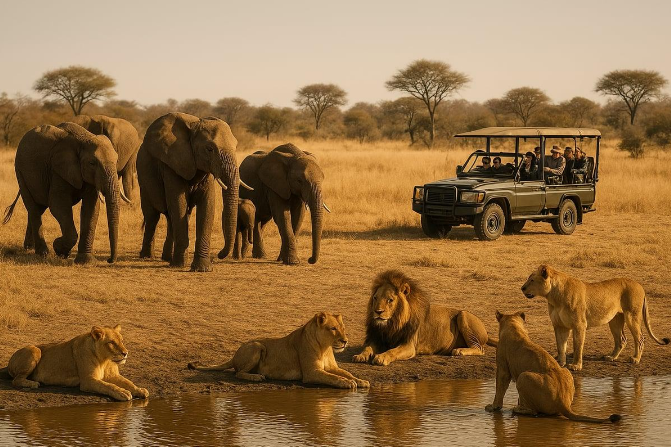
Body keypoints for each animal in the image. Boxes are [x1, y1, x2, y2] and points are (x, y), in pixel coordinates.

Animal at [3, 122, 125, 263]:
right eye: (92, 163)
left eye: (117, 161)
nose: (109, 260)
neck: (84, 139)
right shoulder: (58, 170)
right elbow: (58, 206)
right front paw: (59, 249)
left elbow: (91, 209)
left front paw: (85, 261)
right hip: (20, 172)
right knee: (33, 209)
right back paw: (42, 253)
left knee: (38, 209)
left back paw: (29, 248)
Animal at [137, 112, 249, 272]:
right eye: (209, 149)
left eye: (236, 146)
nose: (218, 256)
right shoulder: (172, 164)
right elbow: (179, 204)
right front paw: (180, 265)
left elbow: (207, 206)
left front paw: (203, 268)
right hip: (143, 180)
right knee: (152, 215)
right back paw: (147, 256)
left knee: (174, 216)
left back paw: (167, 258)